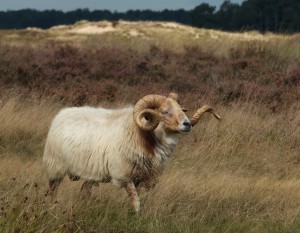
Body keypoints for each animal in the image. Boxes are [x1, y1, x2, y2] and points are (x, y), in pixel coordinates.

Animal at [42, 92, 220, 213]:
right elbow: (136, 201)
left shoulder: (141, 177)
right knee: (53, 191)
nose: (187, 124)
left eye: (181, 109)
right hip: (55, 167)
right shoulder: (125, 175)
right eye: (164, 112)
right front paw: (136, 216)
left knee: (84, 191)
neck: (142, 135)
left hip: (90, 174)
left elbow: (138, 197)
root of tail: (62, 113)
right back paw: (51, 209)